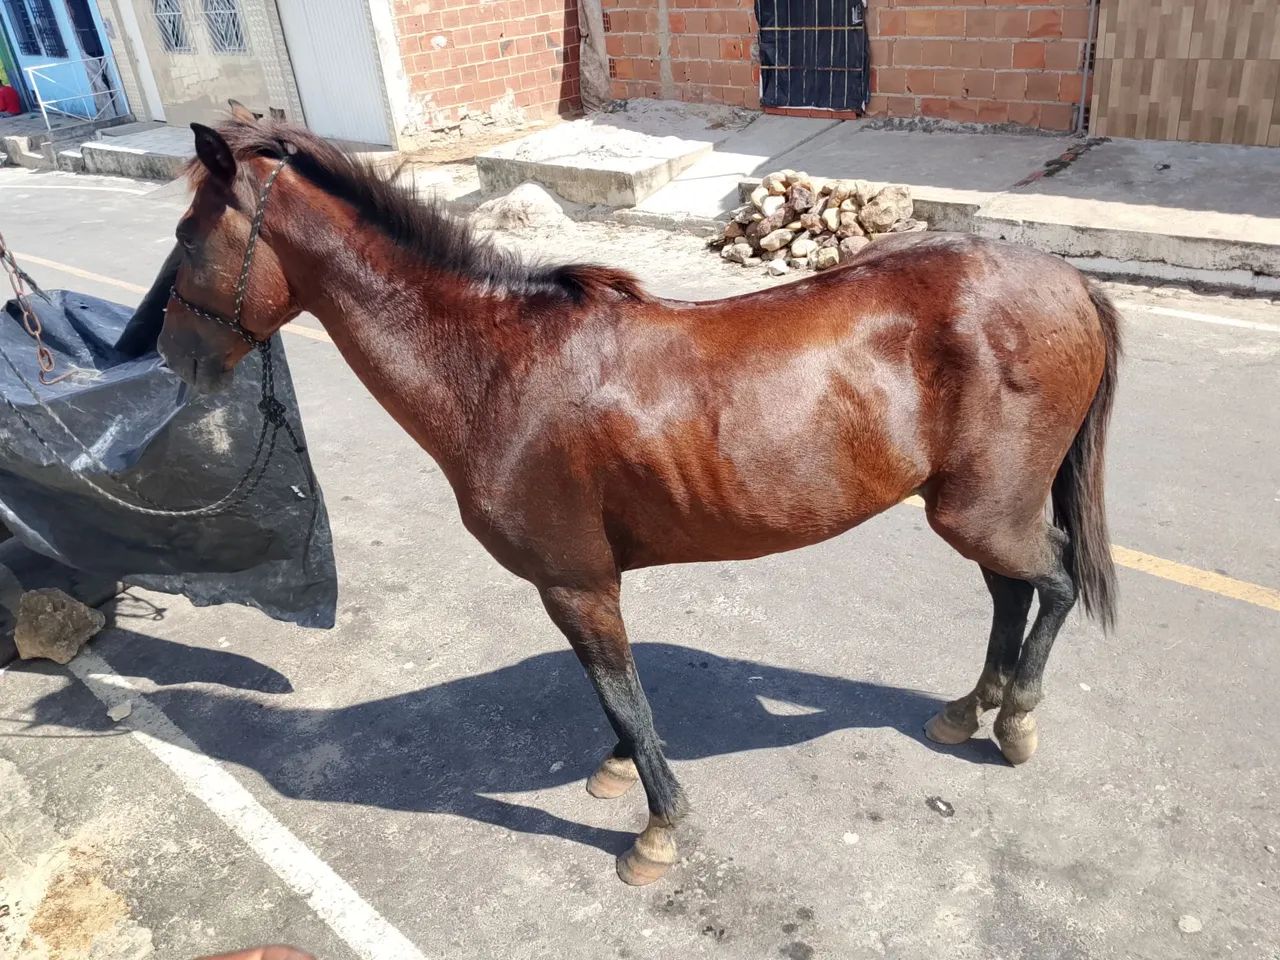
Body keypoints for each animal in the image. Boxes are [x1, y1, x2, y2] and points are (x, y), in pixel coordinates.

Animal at [158, 108, 1121, 887]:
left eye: (189, 236)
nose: (174, 357)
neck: (494, 367)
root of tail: (1068, 280)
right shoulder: (584, 584)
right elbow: (611, 690)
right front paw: (624, 765)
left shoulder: (575, 581)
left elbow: (620, 690)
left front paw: (657, 827)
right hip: (977, 507)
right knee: (1010, 590)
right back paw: (968, 710)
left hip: (982, 509)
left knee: (1053, 581)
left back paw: (1016, 719)